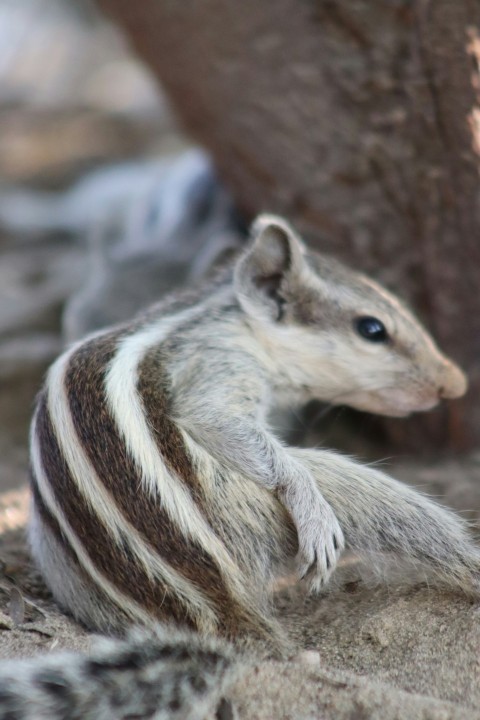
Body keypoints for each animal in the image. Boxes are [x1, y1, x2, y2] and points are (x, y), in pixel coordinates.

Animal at [0, 215, 476, 720]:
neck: (226, 318)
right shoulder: (217, 367)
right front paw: (308, 503)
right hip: (267, 506)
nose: (455, 383)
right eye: (371, 329)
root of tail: (215, 610)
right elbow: (221, 424)